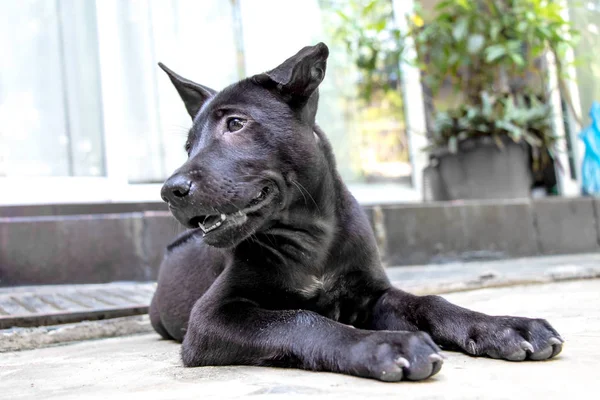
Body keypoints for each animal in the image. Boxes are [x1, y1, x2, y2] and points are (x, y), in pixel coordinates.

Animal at [149, 43, 564, 382]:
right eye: (189, 147)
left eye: (235, 123)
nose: (170, 192)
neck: (311, 239)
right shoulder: (209, 318)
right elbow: (300, 317)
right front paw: (385, 345)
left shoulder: (371, 294)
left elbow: (430, 302)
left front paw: (506, 327)